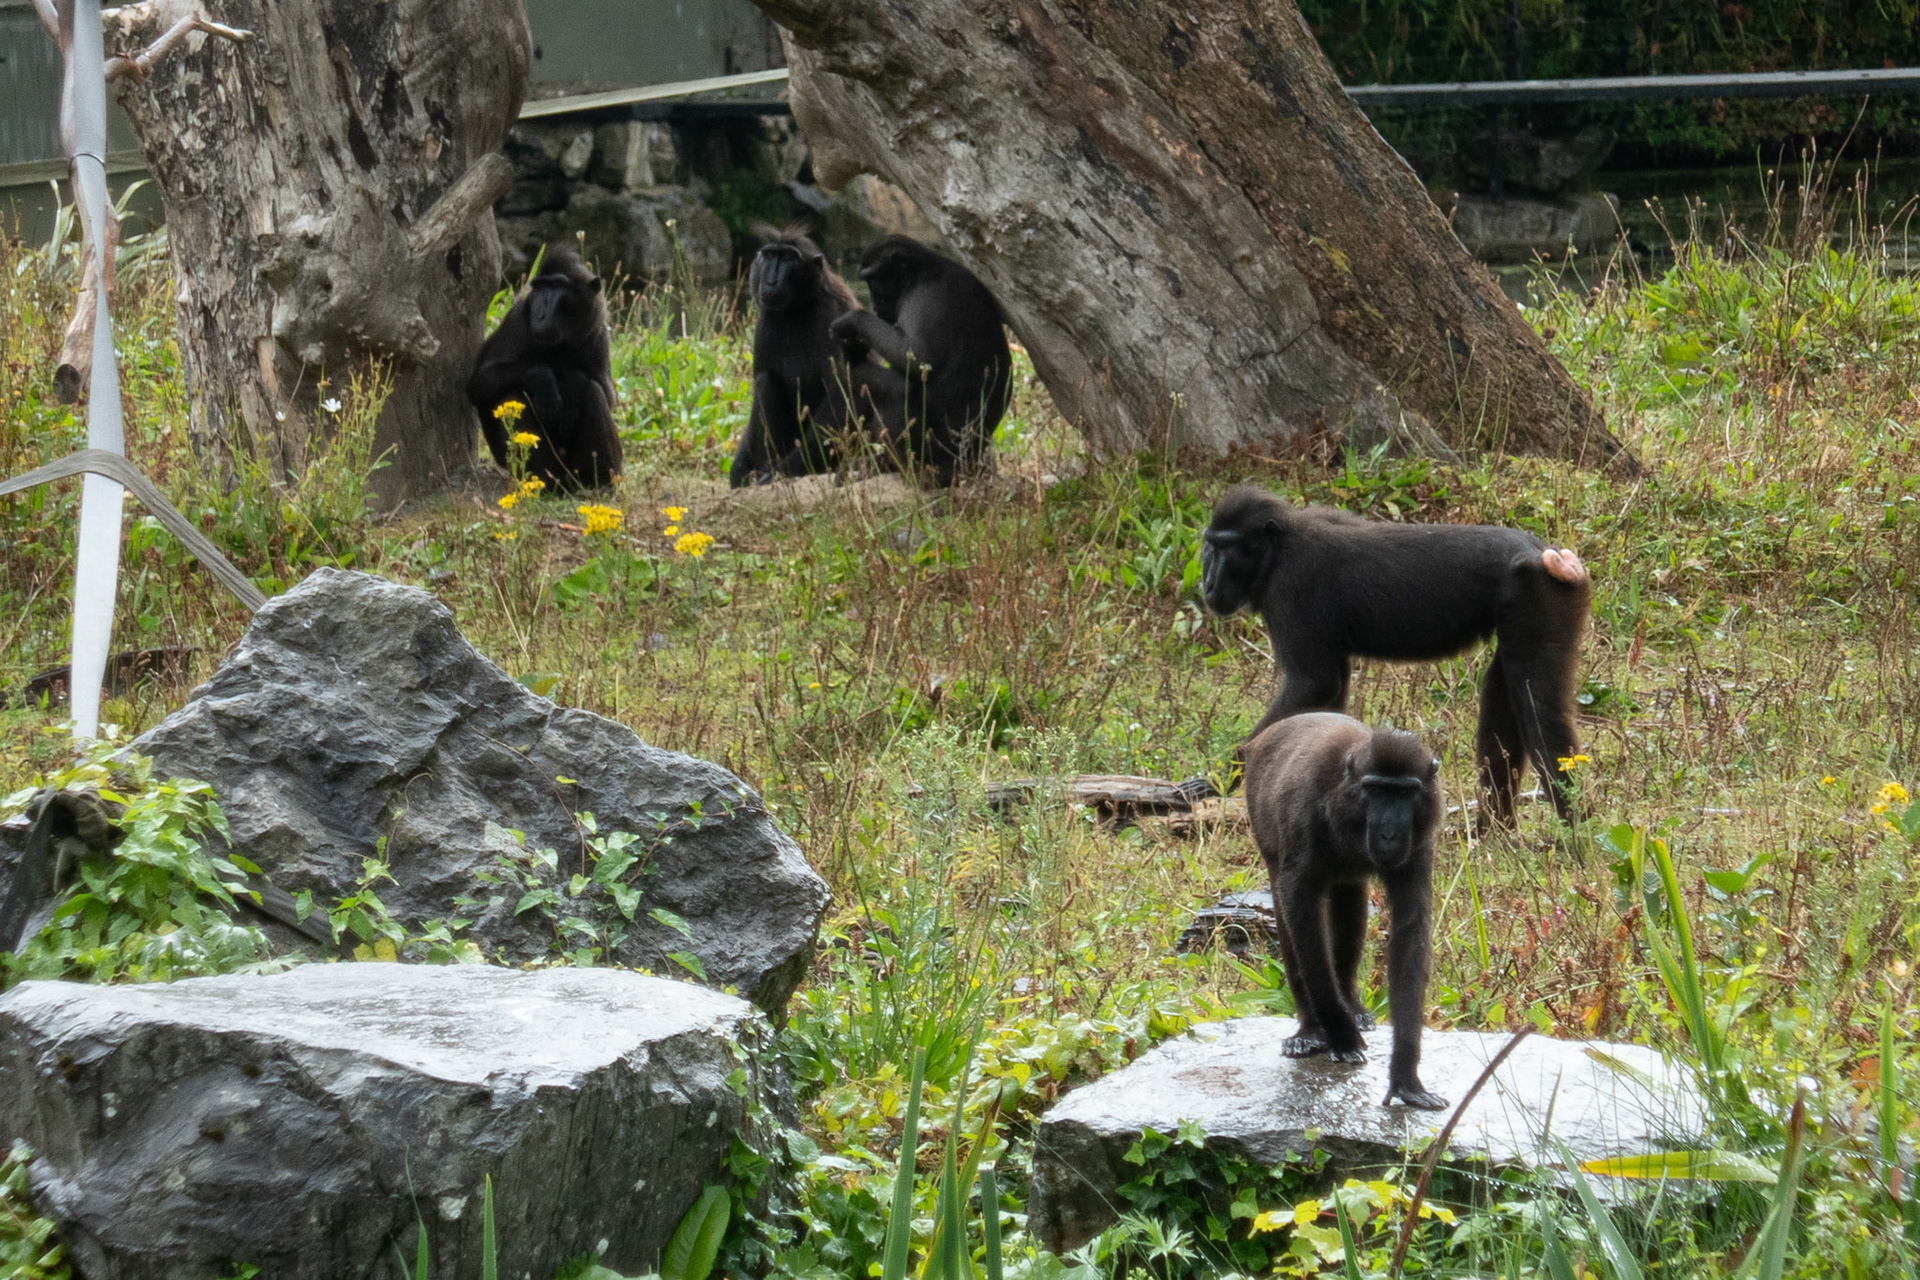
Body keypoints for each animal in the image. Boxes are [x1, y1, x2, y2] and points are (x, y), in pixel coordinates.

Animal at [467, 244, 621, 491]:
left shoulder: (597, 332)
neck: (560, 341)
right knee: (511, 394)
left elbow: (607, 394)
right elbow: (479, 383)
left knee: (593, 392)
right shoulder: (517, 320)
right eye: (540, 288)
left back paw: (599, 485)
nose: (539, 312)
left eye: (556, 287)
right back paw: (542, 485)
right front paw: (545, 381)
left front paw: (572, 383)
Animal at [732, 227, 898, 487]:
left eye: (788, 258)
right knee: (766, 381)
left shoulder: (828, 315)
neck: (797, 308)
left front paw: (785, 469)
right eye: (770, 255)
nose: (770, 281)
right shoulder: (767, 321)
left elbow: (842, 390)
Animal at [828, 236, 1012, 486]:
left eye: (873, 280)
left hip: (932, 457)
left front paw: (853, 322)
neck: (922, 273)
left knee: (892, 387)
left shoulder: (923, 299)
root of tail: (966, 462)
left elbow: (916, 357)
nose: (874, 305)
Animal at [1199, 485, 1591, 826]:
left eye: (1225, 547)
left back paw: (1575, 834)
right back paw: (1493, 833)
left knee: (1537, 707)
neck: (1279, 546)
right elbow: (1327, 702)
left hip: (1537, 596)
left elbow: (1313, 684)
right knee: (1503, 690)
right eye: (1209, 546)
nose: (1206, 583)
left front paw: (1218, 779)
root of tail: (1543, 552)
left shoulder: (1290, 586)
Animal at [1244, 712, 1447, 1110]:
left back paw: (1352, 1005)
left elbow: (1410, 930)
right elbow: (1300, 910)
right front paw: (1340, 1033)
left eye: (1405, 792)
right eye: (1376, 790)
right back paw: (1311, 1029)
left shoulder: (1420, 845)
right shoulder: (1306, 817)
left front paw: (1405, 1075)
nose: (1388, 834)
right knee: (1287, 914)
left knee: (1350, 901)